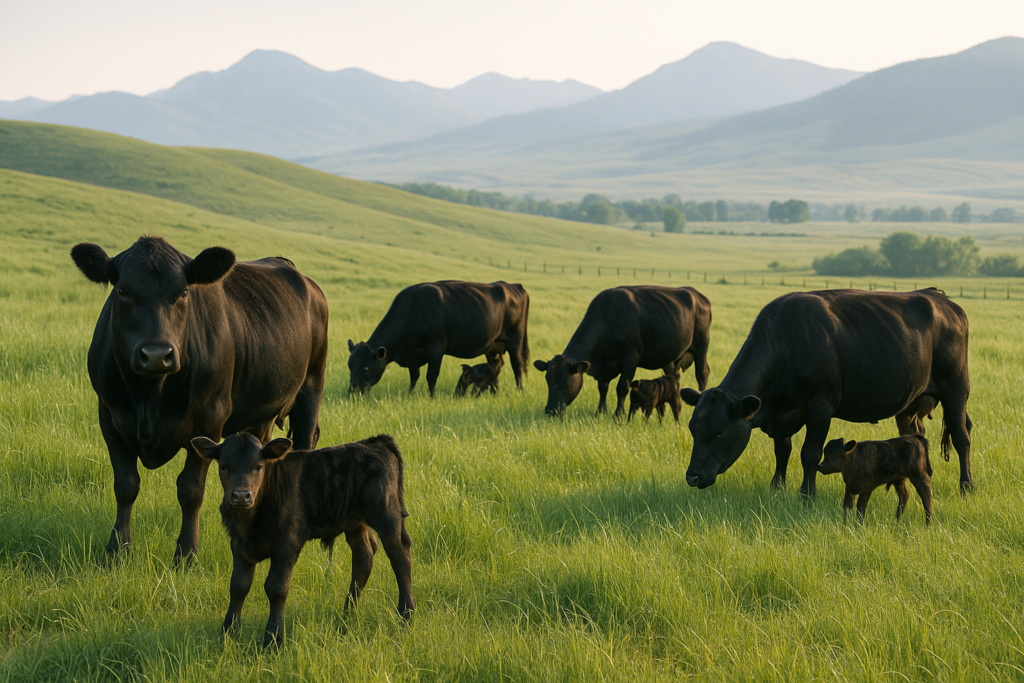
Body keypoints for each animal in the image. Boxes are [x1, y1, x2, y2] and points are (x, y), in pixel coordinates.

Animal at [70, 237, 329, 562]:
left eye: (182, 292)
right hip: (263, 412)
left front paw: (186, 554)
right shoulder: (109, 415)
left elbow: (190, 490)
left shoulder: (209, 418)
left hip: (311, 385)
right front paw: (117, 550)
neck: (149, 397)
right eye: (122, 291)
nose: (157, 354)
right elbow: (125, 484)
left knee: (306, 442)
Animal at [191, 433, 415, 648]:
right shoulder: (239, 544)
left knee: (400, 556)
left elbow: (276, 588)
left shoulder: (287, 544)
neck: (250, 521)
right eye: (223, 466)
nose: (241, 495)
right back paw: (347, 613)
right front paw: (228, 633)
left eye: (258, 466)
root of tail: (376, 442)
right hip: (355, 522)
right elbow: (238, 586)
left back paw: (406, 615)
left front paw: (273, 640)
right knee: (364, 556)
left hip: (387, 513)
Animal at [348, 280, 529, 397]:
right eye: (349, 366)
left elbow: (431, 375)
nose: (352, 393)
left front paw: (432, 397)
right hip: (492, 346)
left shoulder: (436, 348)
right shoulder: (413, 355)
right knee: (494, 367)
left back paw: (519, 391)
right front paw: (410, 395)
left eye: (365, 369)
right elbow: (414, 376)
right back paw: (493, 392)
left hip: (515, 341)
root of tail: (514, 286)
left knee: (517, 366)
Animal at [533, 286, 711, 417]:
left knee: (702, 374)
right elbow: (603, 387)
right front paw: (601, 411)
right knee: (674, 378)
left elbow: (622, 386)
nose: (550, 410)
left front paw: (618, 414)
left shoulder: (631, 356)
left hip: (701, 346)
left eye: (564, 380)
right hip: (672, 358)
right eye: (547, 380)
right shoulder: (605, 366)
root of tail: (698, 294)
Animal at [680, 288, 972, 497]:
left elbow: (810, 453)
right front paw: (777, 487)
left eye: (720, 431)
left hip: (956, 388)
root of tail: (942, 299)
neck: (785, 344)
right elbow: (782, 451)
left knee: (962, 436)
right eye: (692, 428)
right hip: (910, 405)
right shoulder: (781, 413)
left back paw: (966, 486)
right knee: (914, 436)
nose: (692, 477)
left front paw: (807, 494)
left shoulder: (820, 406)